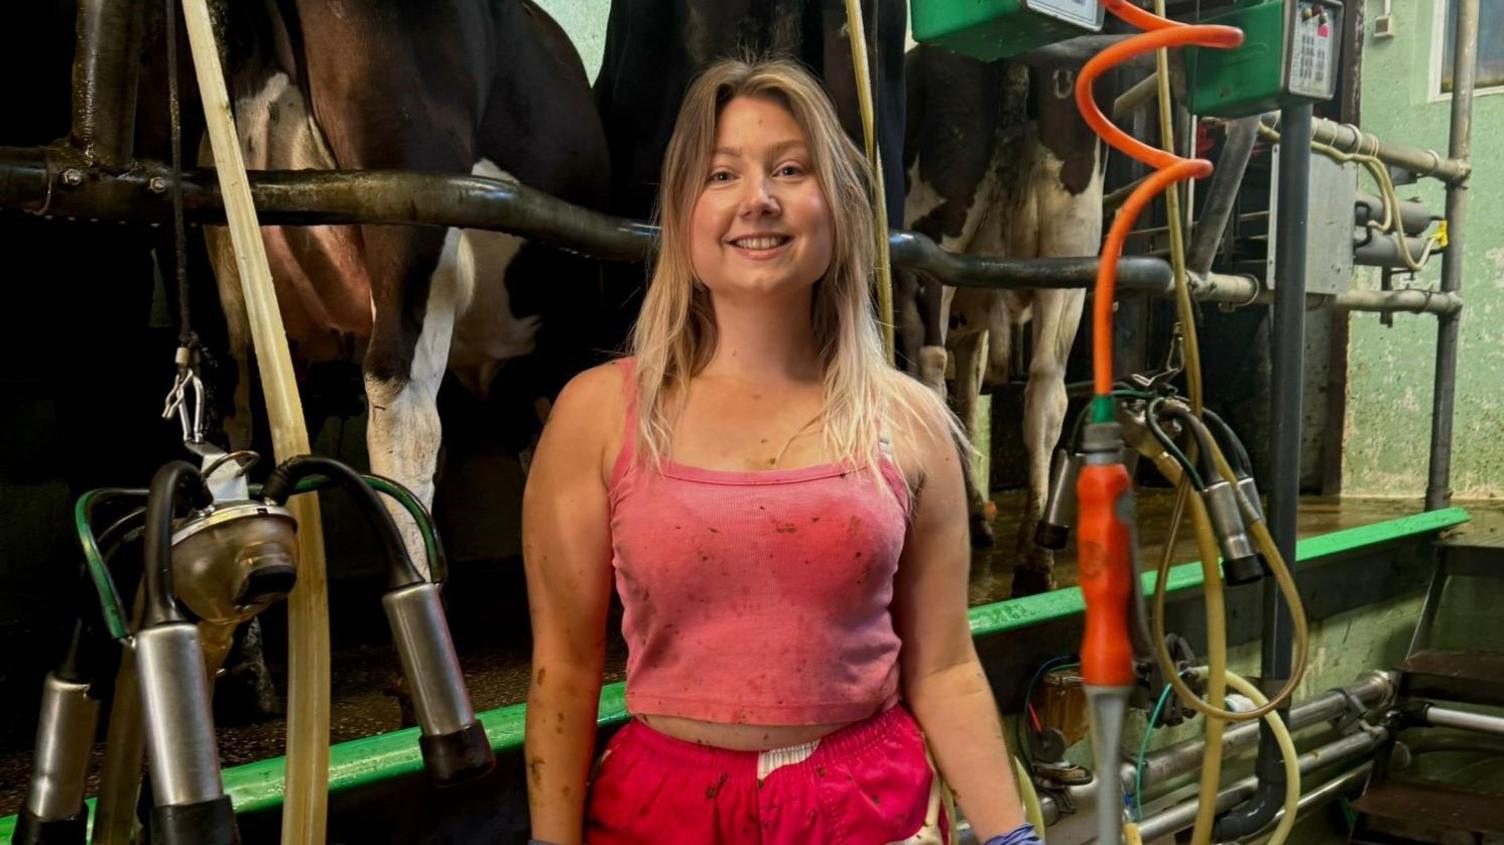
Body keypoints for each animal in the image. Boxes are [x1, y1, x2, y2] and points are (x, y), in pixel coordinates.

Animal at [902, 46, 1106, 595]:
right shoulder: (974, 327)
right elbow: (970, 402)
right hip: (1069, 258)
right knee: (1046, 393)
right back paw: (1035, 556)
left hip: (934, 240)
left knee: (930, 373)